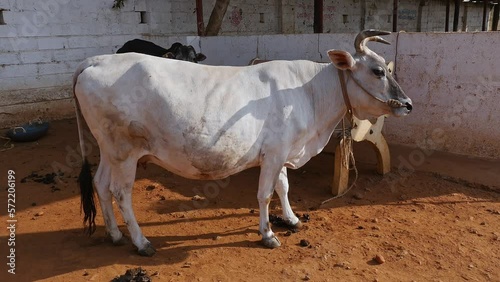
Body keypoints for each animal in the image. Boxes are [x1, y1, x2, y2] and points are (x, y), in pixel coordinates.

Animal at [73, 30, 410, 256]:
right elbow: (264, 194)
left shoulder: (282, 149)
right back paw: (141, 242)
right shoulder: (274, 153)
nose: (407, 104)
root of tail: (96, 60)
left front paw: (292, 219)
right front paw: (267, 234)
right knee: (120, 192)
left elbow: (283, 186)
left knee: (101, 184)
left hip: (109, 150)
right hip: (125, 151)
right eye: (377, 71)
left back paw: (115, 234)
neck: (309, 92)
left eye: (387, 68)